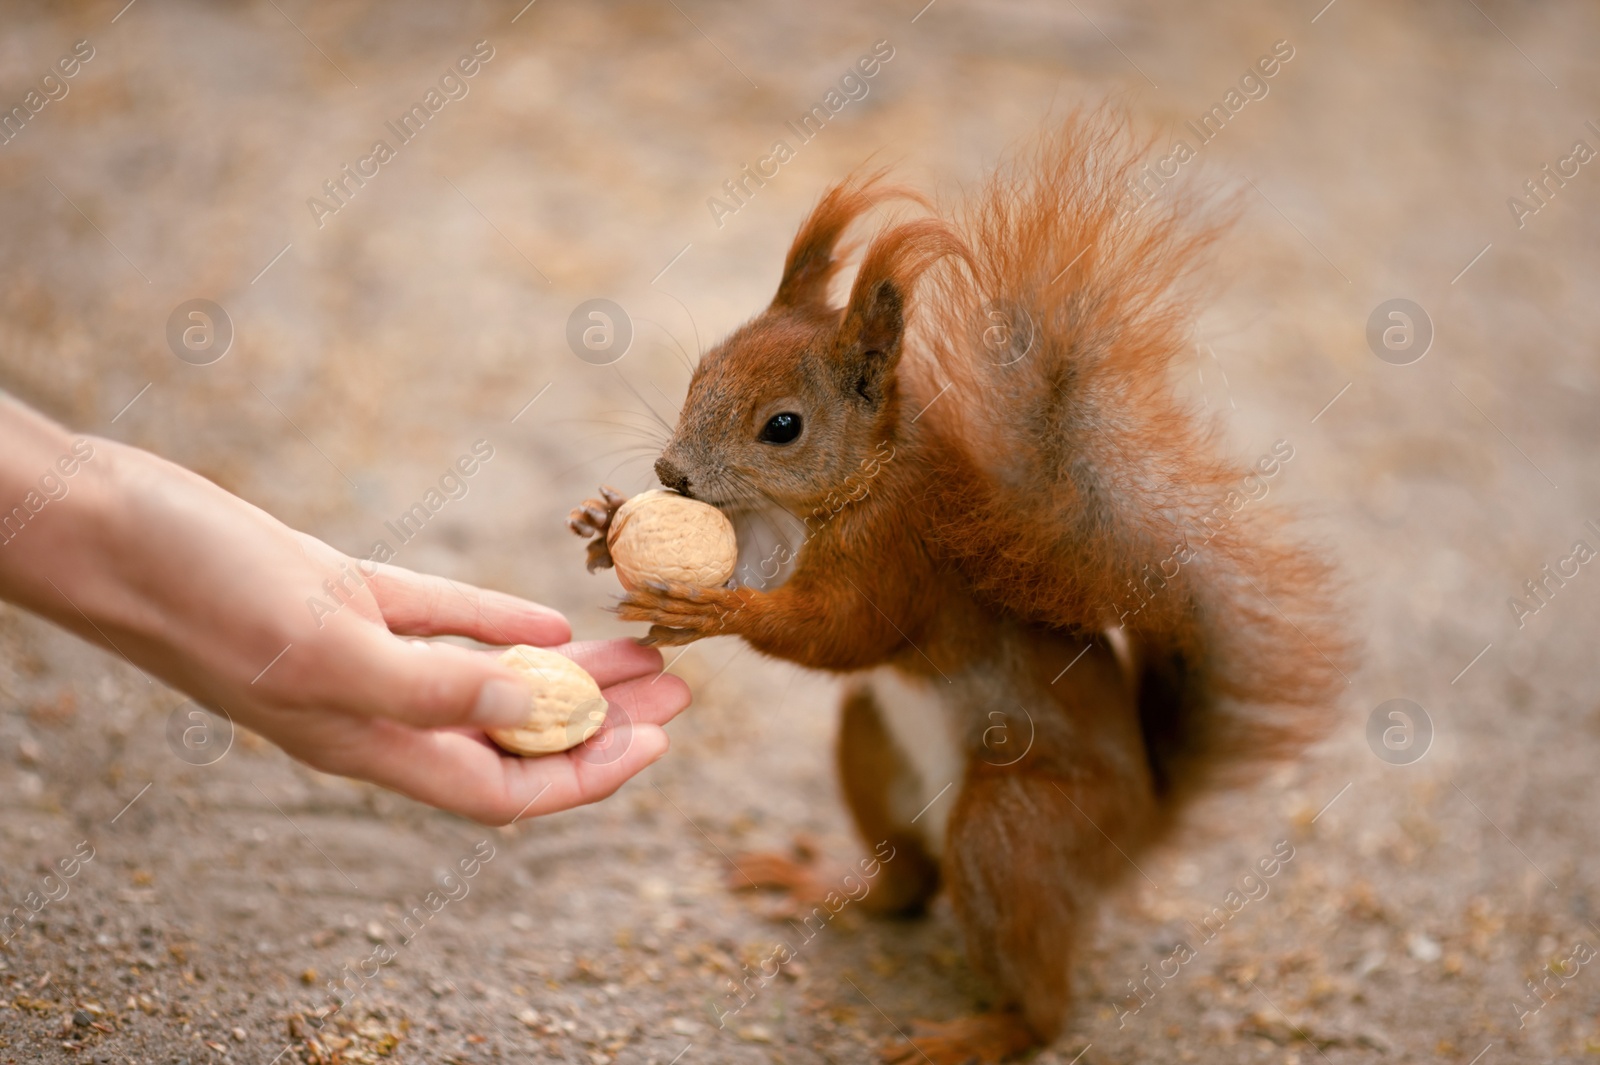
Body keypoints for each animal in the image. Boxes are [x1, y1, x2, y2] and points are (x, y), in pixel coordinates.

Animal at [569, 111, 1344, 1061]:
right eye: (699, 371)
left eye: (783, 426)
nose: (670, 474)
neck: (840, 492)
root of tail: (1140, 825)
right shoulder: (767, 534)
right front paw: (605, 526)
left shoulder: (896, 557)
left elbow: (838, 634)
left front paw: (713, 606)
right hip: (872, 744)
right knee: (907, 888)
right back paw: (817, 882)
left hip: (1014, 830)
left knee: (1044, 1003)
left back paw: (972, 1032)